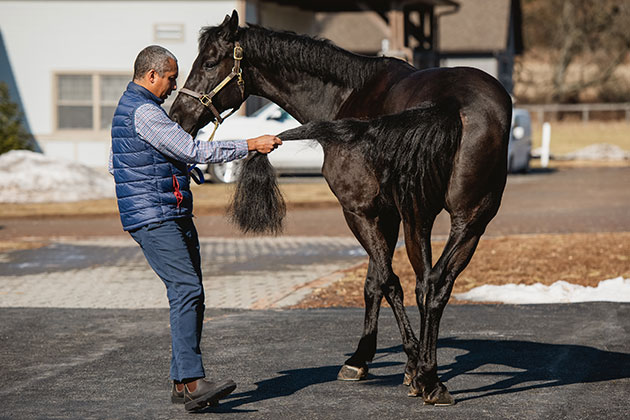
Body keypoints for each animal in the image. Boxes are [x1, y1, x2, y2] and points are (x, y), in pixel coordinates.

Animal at [170, 9, 516, 404]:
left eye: (210, 62)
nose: (178, 115)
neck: (349, 94)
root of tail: (451, 105)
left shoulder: (359, 210)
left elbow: (386, 281)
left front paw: (382, 362)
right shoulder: (388, 214)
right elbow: (374, 281)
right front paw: (381, 360)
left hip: (420, 216)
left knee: (423, 283)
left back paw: (427, 377)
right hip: (469, 220)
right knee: (438, 284)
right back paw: (432, 379)